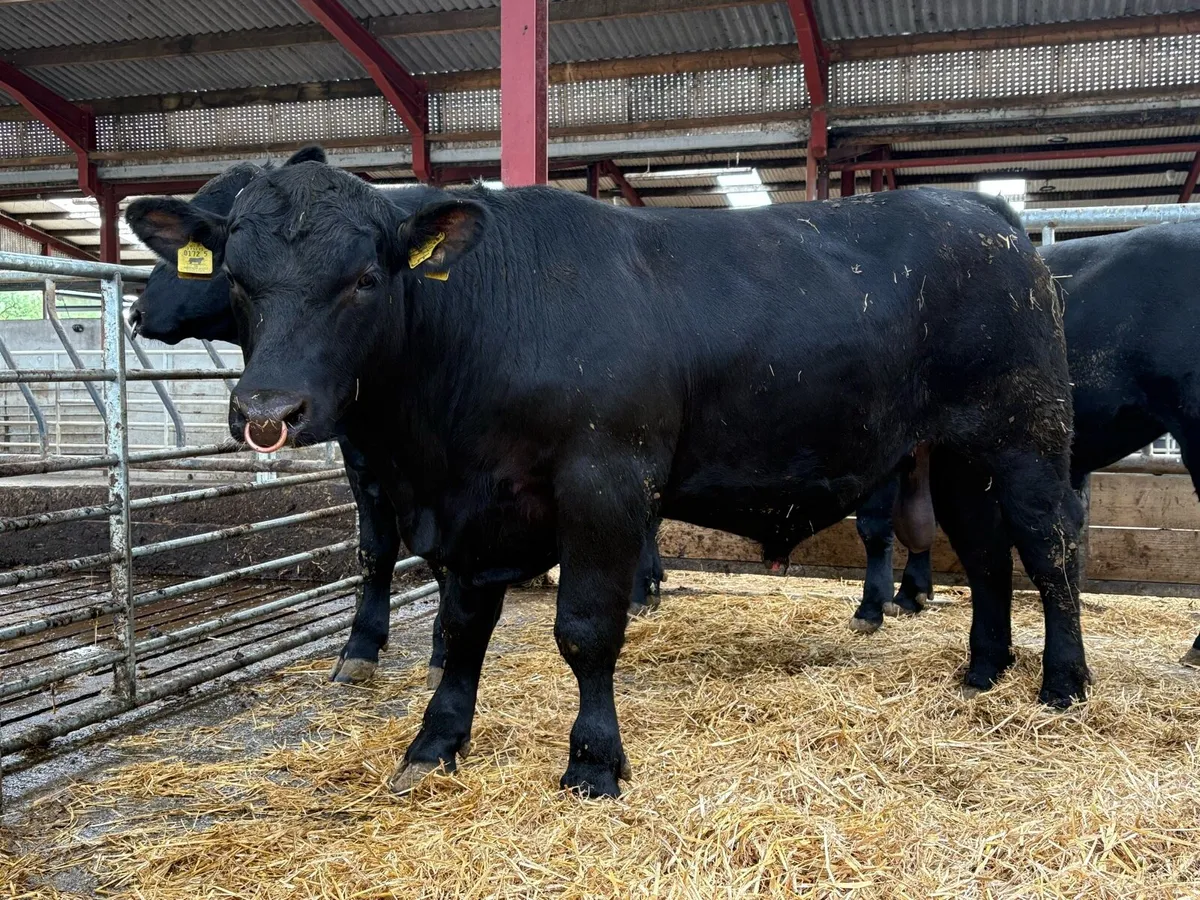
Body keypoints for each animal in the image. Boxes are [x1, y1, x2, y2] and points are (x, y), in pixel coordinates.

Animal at [126, 150, 665, 689]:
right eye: (233, 274)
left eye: (366, 278)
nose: (138, 310)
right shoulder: (363, 460)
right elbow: (375, 548)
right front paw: (361, 645)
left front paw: (442, 652)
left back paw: (642, 591)